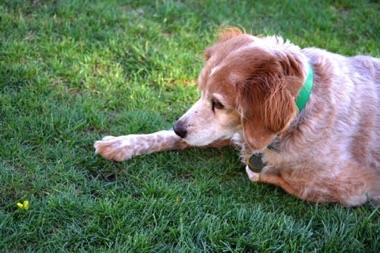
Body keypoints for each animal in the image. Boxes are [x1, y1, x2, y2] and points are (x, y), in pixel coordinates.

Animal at [94, 28, 380, 206]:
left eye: (218, 104)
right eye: (200, 90)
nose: (178, 127)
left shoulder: (355, 188)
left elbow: (257, 172)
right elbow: (164, 137)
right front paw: (121, 143)